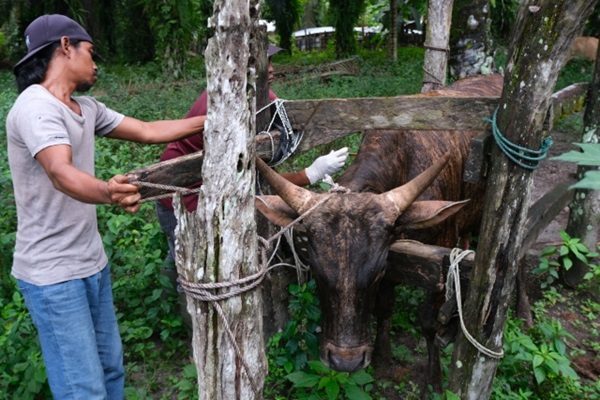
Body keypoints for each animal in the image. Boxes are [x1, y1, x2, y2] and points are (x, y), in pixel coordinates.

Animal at [255, 74, 504, 390]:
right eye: (317, 271)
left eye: (376, 272)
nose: (345, 362)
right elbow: (385, 306)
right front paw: (383, 361)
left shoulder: (439, 259)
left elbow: (428, 322)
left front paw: (434, 380)